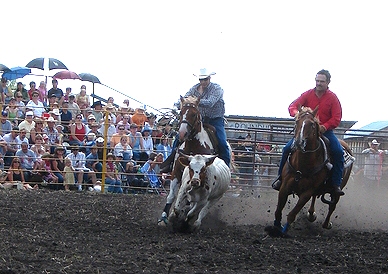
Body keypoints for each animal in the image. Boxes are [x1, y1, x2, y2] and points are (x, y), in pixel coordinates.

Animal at [268, 106, 354, 237]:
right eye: (296, 121)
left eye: (312, 124)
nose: (299, 142)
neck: (302, 164)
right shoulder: (284, 187)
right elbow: (278, 210)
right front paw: (276, 227)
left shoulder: (307, 192)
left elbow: (292, 214)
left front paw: (283, 231)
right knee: (316, 199)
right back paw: (311, 214)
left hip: (340, 187)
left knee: (332, 205)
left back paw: (326, 224)